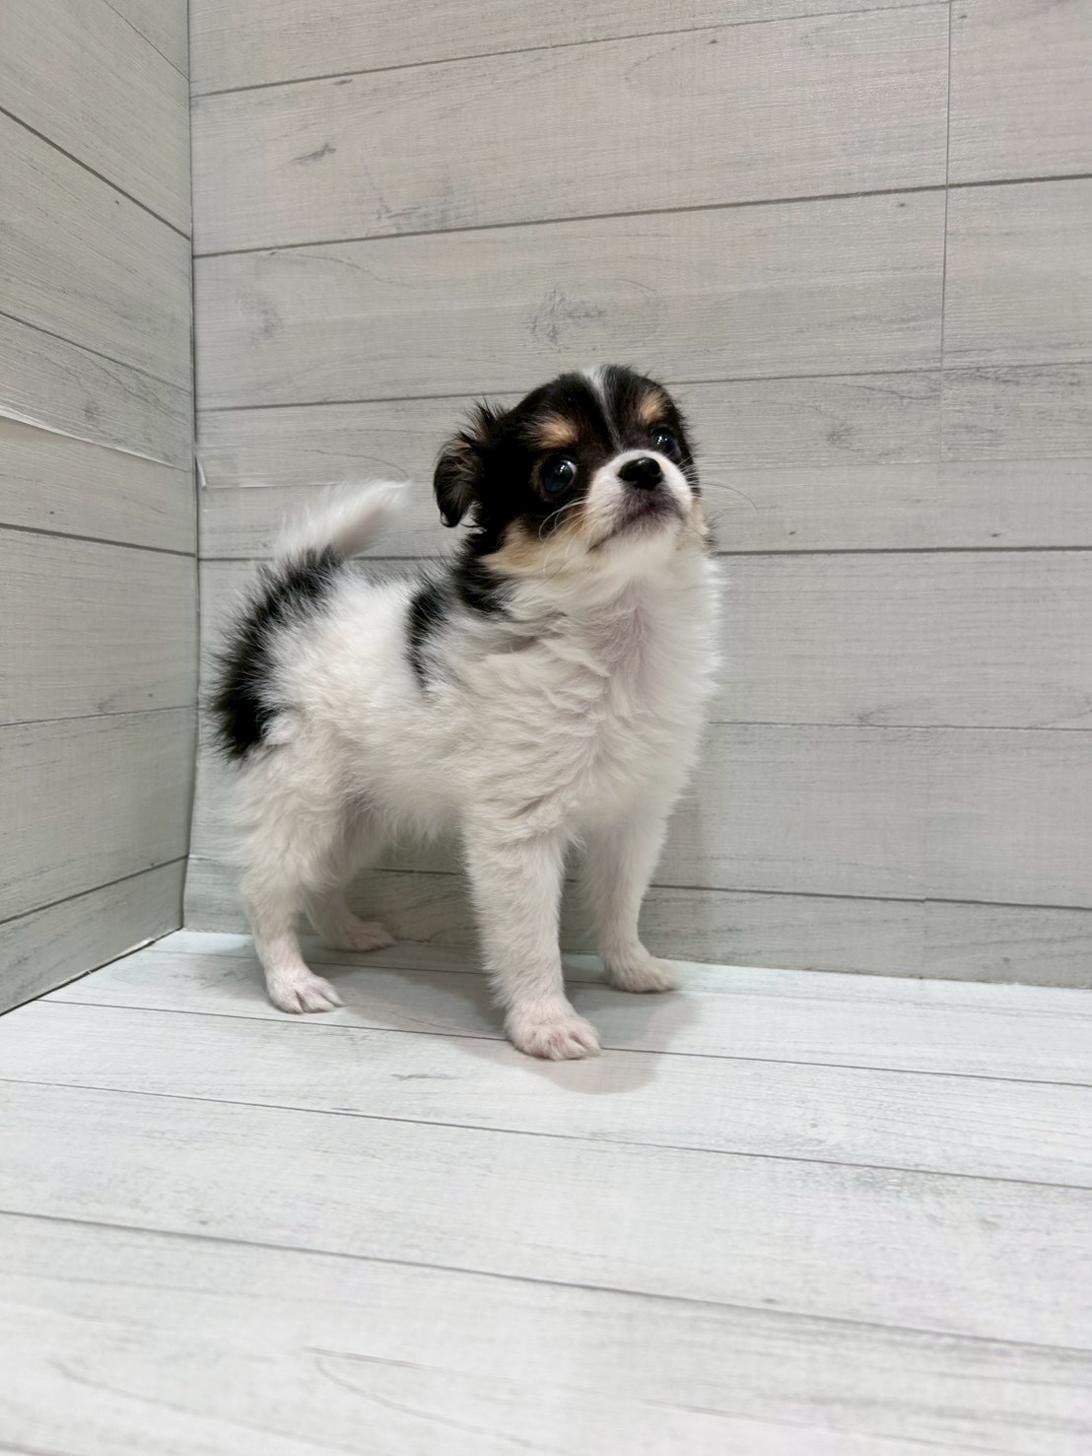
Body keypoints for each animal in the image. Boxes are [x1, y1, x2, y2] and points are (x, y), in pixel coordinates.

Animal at [211, 365, 720, 1059]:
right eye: (559, 472)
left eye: (665, 440)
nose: (643, 467)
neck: (614, 626)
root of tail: (289, 604)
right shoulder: (517, 834)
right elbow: (530, 939)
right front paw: (546, 1023)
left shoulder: (634, 818)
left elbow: (620, 903)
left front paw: (632, 968)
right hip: (297, 793)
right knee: (267, 888)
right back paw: (291, 981)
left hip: (358, 814)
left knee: (324, 881)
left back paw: (348, 934)